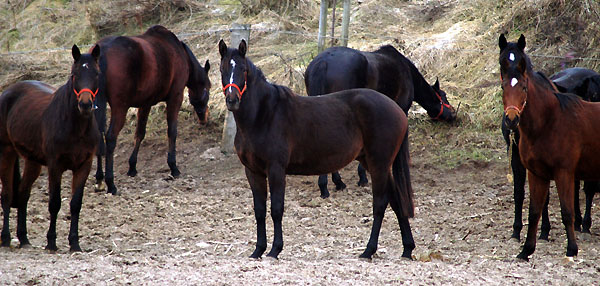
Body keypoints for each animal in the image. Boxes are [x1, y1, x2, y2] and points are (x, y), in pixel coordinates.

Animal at [0, 43, 101, 251]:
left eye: (96, 74)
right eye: (74, 75)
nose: (85, 104)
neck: (76, 127)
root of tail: (7, 91)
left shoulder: (84, 166)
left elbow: (75, 204)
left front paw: (74, 243)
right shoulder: (55, 166)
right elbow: (54, 203)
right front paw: (51, 242)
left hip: (33, 162)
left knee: (23, 194)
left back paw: (24, 239)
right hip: (6, 152)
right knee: (6, 195)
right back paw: (5, 238)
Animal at [92, 25, 212, 194]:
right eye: (208, 89)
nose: (203, 118)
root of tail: (102, 52)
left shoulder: (145, 104)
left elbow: (140, 134)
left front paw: (132, 166)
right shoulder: (175, 98)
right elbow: (172, 131)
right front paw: (173, 167)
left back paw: (99, 179)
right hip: (120, 108)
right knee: (110, 137)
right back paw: (110, 183)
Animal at [218, 39, 414, 260]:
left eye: (243, 70)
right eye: (222, 69)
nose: (232, 100)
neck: (263, 115)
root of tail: (397, 110)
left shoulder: (276, 169)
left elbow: (276, 209)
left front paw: (275, 250)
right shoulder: (253, 171)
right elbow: (259, 210)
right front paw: (258, 250)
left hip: (379, 164)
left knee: (380, 205)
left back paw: (368, 250)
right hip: (374, 163)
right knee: (397, 201)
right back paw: (407, 249)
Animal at [308, 45, 458, 198]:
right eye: (444, 96)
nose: (453, 114)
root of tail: (323, 62)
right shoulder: (401, 110)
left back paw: (335, 183)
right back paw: (329, 185)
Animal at [500, 34, 600, 262]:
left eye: (524, 87)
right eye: (502, 60)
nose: (511, 120)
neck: (548, 121)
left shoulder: (562, 170)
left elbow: (563, 209)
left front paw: (569, 247)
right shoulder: (530, 168)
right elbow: (530, 205)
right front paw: (523, 244)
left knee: (588, 191)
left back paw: (585, 225)